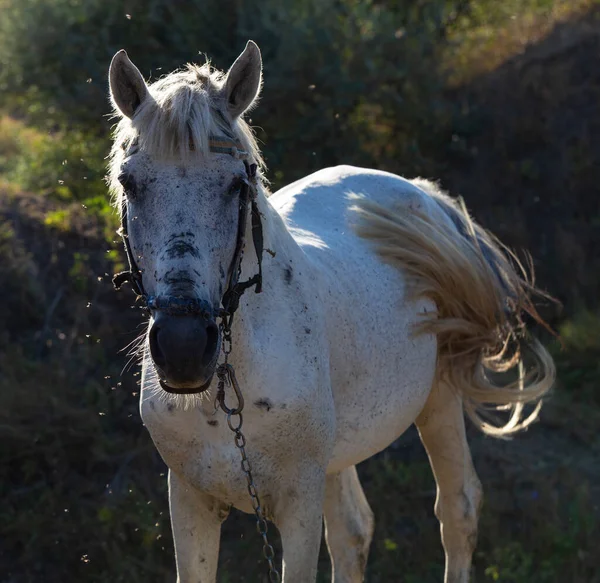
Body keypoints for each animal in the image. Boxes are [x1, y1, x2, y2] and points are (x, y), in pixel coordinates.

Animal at [106, 42, 552, 583]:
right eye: (130, 183)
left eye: (236, 185)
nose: (184, 348)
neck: (231, 389)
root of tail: (423, 193)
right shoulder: (191, 500)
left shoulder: (298, 506)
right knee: (354, 532)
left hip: (439, 397)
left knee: (458, 509)